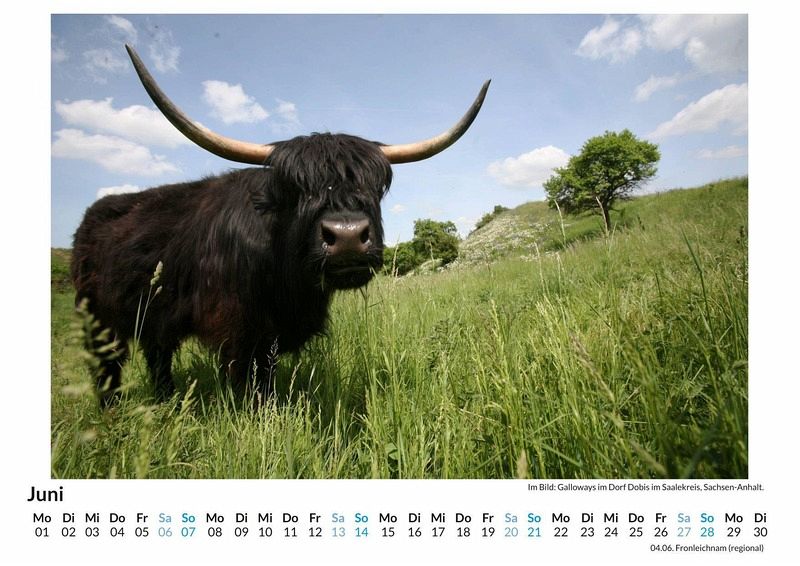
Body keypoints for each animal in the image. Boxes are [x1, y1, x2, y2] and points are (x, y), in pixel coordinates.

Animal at [71, 45, 489, 406]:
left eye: (375, 186)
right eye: (294, 189)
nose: (347, 237)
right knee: (109, 367)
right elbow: (253, 388)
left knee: (157, 355)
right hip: (99, 319)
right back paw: (112, 410)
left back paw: (166, 401)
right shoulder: (239, 333)